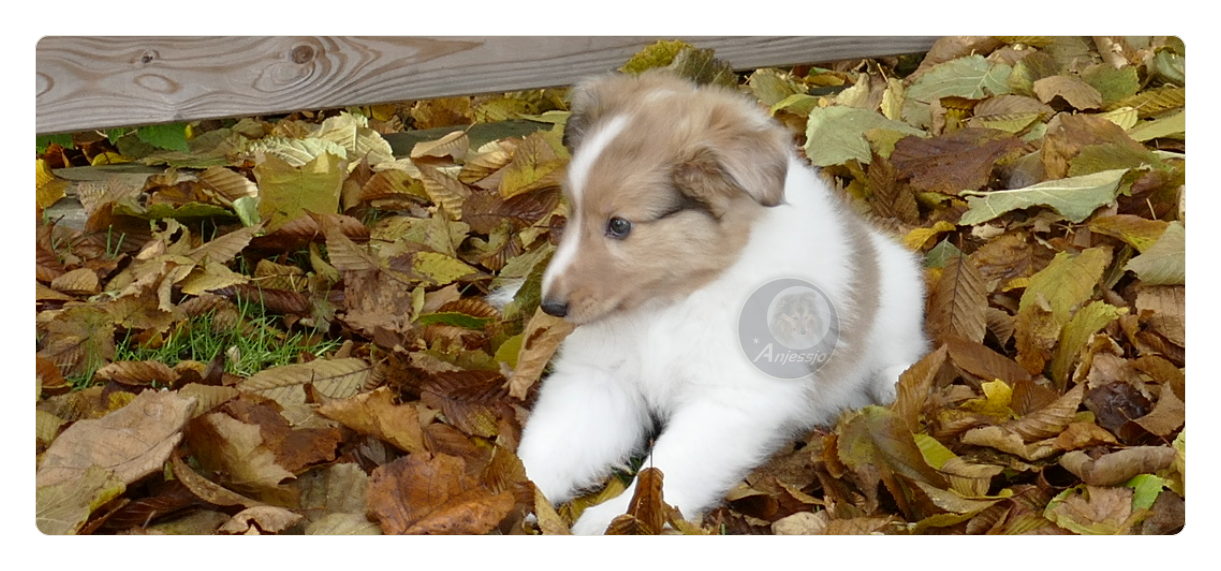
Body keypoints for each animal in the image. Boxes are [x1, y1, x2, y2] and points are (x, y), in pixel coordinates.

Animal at [512, 71, 923, 534]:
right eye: (573, 212)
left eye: (619, 225)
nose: (550, 307)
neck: (673, 302)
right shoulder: (599, 380)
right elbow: (548, 450)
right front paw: (506, 495)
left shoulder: (728, 400)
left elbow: (671, 465)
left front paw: (617, 519)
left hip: (899, 294)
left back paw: (895, 383)